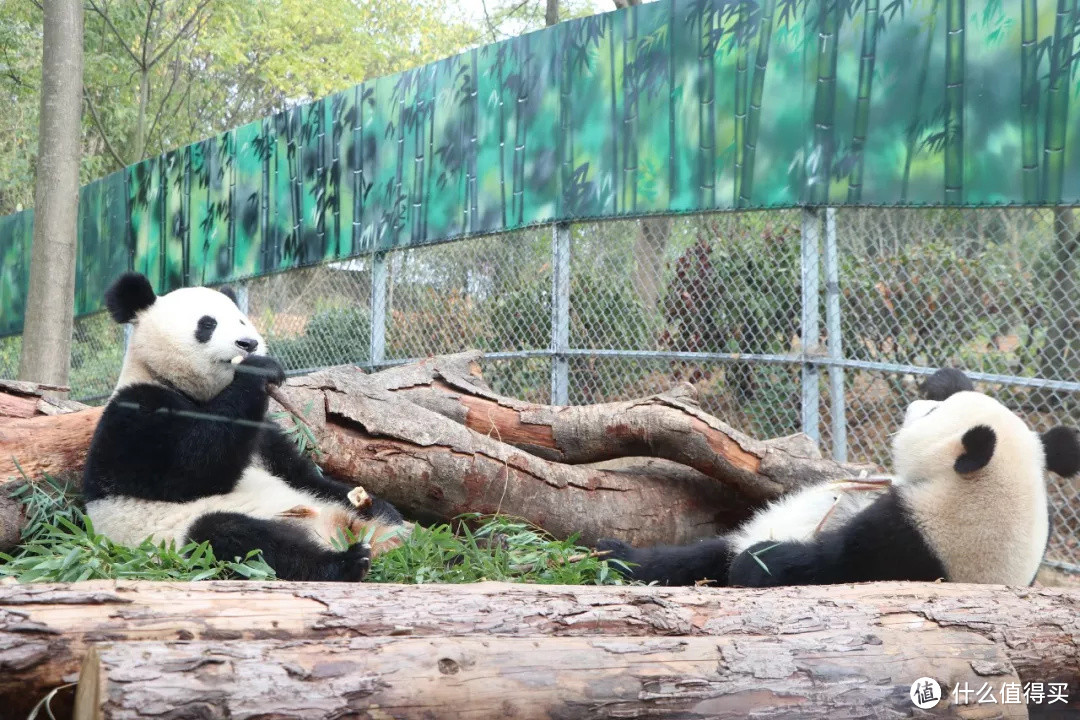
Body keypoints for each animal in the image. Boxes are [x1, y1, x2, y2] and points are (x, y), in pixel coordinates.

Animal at [82, 273, 406, 582]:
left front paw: (386, 508)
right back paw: (346, 562)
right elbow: (188, 471)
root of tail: (329, 527)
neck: (195, 392)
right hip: (178, 536)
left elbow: (298, 472)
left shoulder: (264, 434)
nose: (248, 344)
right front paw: (258, 370)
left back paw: (388, 527)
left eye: (241, 320)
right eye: (207, 324)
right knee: (239, 539)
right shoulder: (134, 413)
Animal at [600, 369, 1080, 587]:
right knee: (689, 556)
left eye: (933, 416)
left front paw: (755, 562)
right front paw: (947, 377)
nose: (914, 406)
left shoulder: (905, 540)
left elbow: (815, 561)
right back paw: (612, 553)